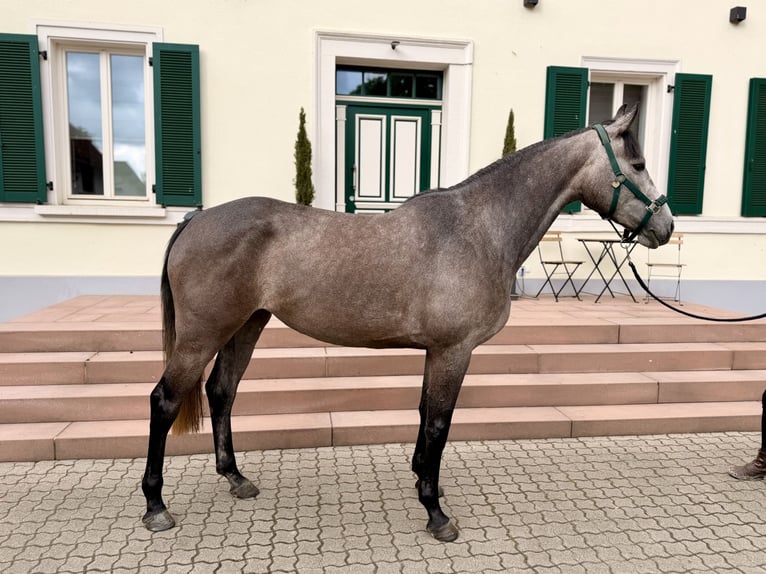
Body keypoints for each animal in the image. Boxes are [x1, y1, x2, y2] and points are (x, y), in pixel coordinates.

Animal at [141, 103, 673, 542]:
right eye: (638, 165)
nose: (666, 227)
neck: (479, 228)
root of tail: (196, 218)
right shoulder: (454, 351)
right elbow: (438, 423)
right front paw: (436, 513)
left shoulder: (436, 352)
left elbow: (423, 417)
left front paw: (421, 480)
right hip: (202, 334)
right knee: (165, 401)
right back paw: (155, 506)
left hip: (246, 325)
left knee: (221, 392)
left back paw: (236, 478)